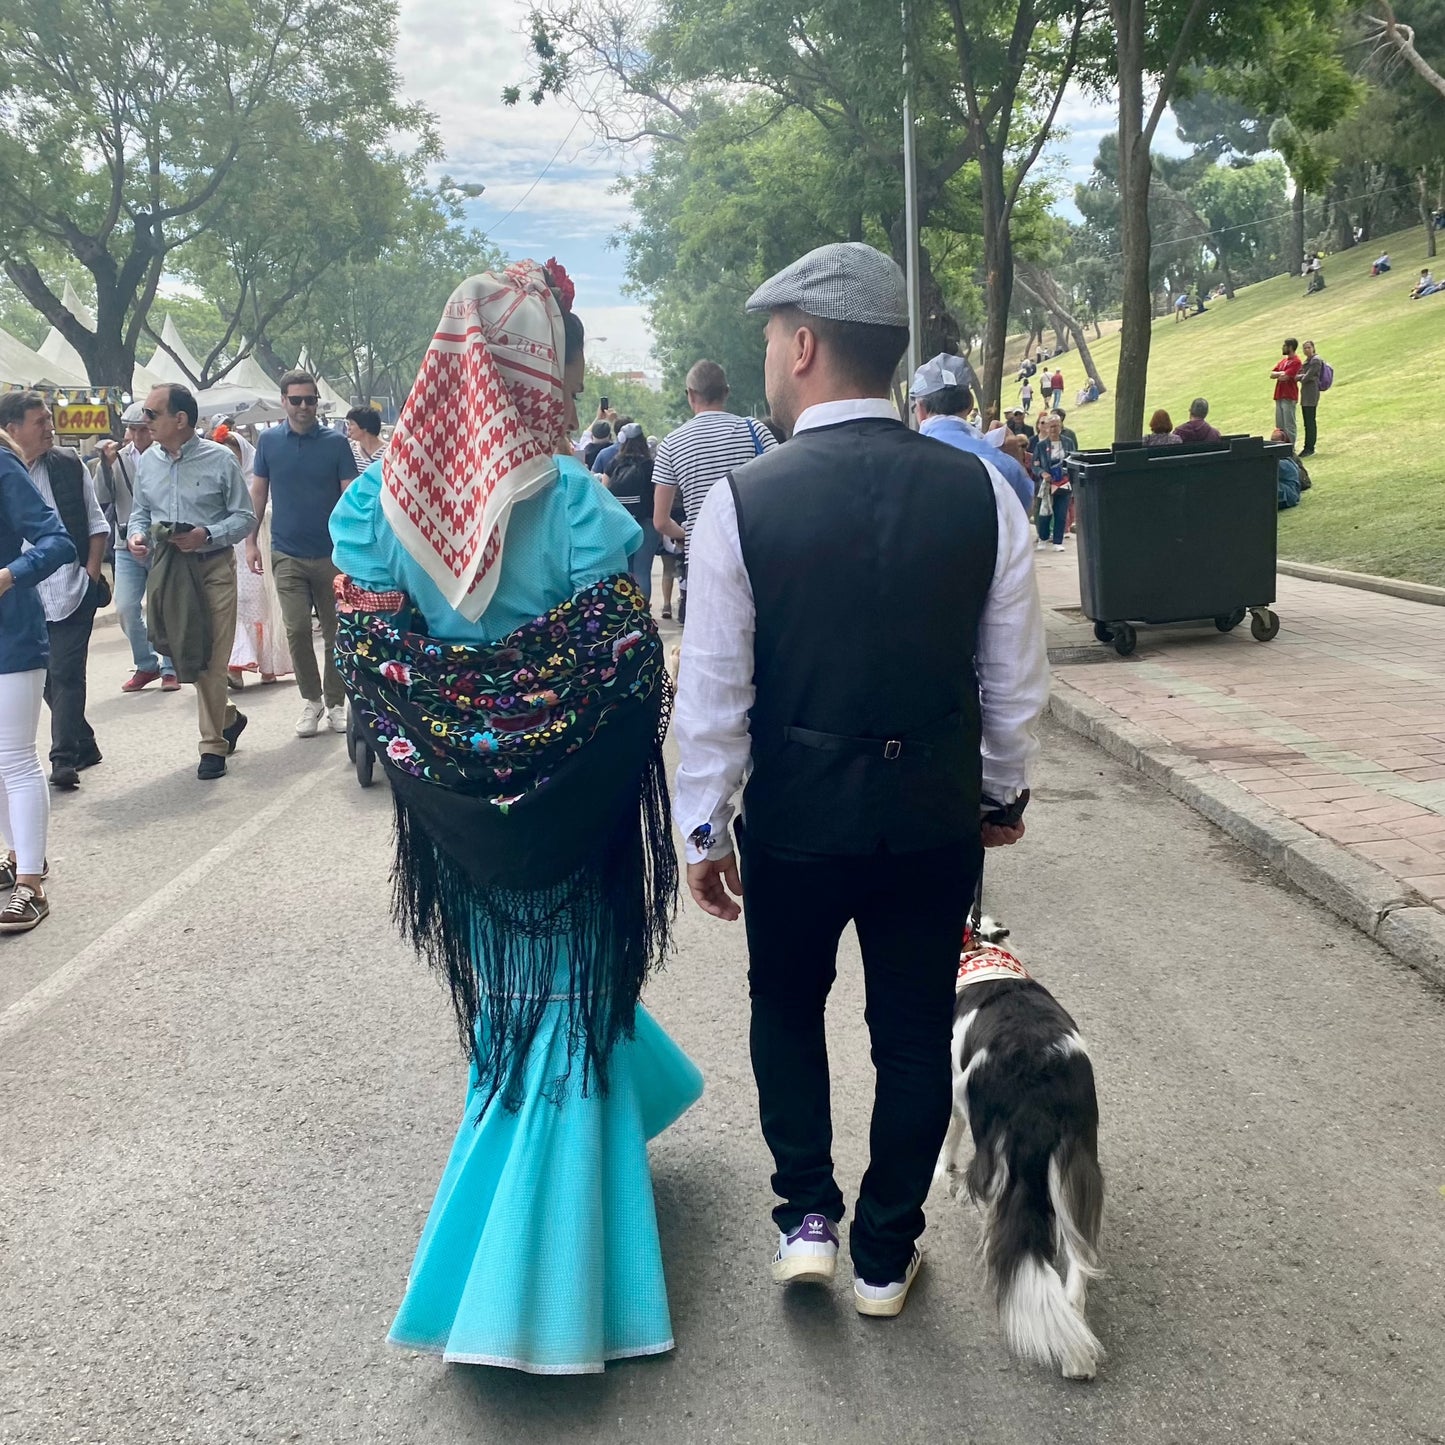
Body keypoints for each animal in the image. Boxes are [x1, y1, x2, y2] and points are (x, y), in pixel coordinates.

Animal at [936, 913, 1103, 1375]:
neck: (980, 950)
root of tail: (1038, 1083)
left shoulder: (951, 1091)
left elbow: (947, 1140)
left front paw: (942, 1174)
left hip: (1004, 1159)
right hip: (1075, 1166)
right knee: (1079, 1260)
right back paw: (1076, 1352)